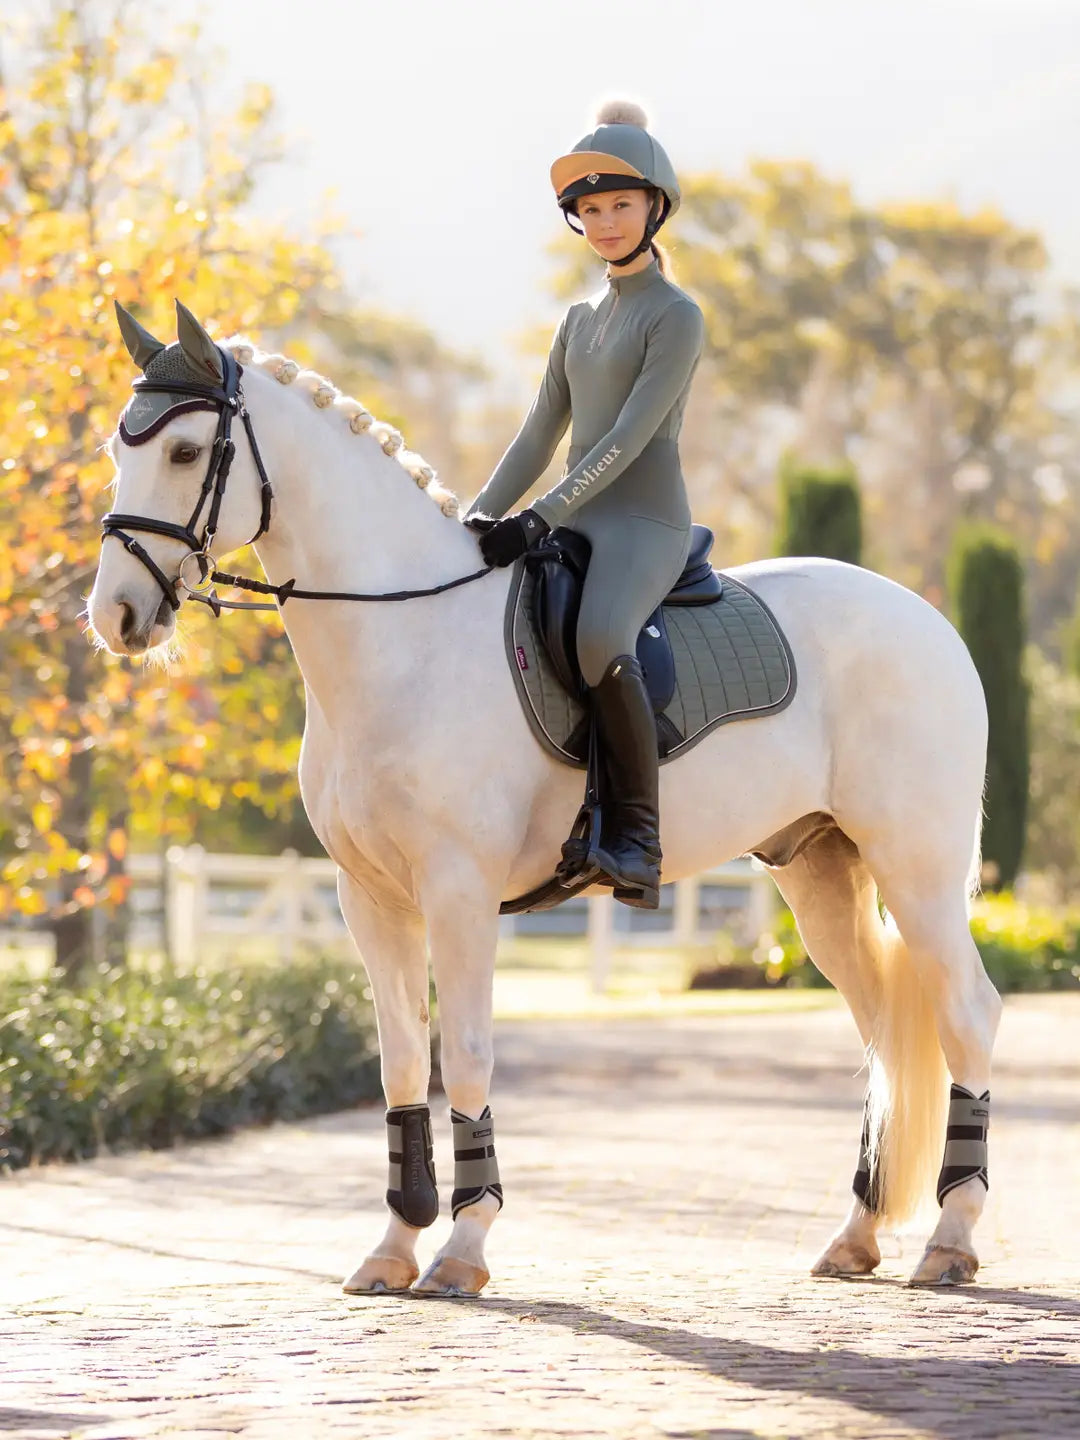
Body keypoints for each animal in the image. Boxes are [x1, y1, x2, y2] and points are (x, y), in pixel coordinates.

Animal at [88, 300, 1001, 1297]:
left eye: (184, 453)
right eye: (117, 447)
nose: (116, 617)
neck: (405, 636)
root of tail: (930, 620)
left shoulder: (458, 891)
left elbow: (466, 1056)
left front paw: (463, 1247)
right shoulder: (369, 898)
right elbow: (402, 1064)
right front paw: (393, 1247)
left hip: (916, 871)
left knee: (966, 1015)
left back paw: (950, 1240)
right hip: (821, 872)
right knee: (883, 1036)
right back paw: (856, 1236)